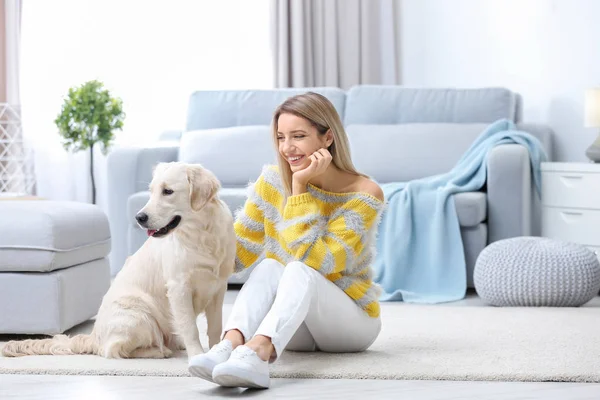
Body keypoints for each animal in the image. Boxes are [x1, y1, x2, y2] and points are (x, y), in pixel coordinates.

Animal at [2, 162, 237, 360]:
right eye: (151, 191)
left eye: (167, 191)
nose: (139, 218)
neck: (202, 236)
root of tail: (93, 335)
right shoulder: (179, 287)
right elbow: (190, 328)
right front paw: (197, 355)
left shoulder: (218, 288)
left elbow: (215, 327)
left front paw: (215, 351)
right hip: (139, 315)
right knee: (114, 349)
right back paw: (159, 350)